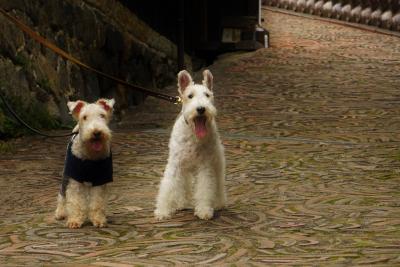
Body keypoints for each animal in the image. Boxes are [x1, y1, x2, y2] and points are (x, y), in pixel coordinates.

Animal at [54, 99, 114, 229]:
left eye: (102, 115)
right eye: (84, 117)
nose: (96, 132)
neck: (90, 156)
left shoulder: (100, 180)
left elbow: (97, 202)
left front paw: (98, 220)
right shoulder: (75, 180)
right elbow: (75, 201)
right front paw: (74, 221)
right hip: (66, 176)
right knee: (62, 195)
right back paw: (60, 213)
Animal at [155, 70, 227, 221]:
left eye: (207, 95)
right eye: (190, 96)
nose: (201, 109)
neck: (193, 134)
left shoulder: (205, 166)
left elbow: (205, 188)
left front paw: (204, 210)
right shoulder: (175, 164)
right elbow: (168, 186)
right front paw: (162, 211)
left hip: (217, 162)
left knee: (218, 183)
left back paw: (219, 202)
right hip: (184, 167)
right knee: (184, 183)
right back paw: (182, 202)